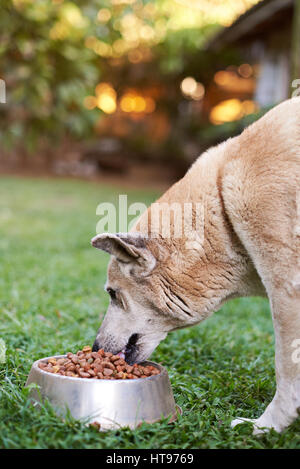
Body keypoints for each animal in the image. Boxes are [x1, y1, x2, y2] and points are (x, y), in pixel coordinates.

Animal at [91, 97, 300, 434]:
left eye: (112, 293)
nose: (95, 348)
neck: (223, 211)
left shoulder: (287, 290)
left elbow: (286, 369)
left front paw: (266, 427)